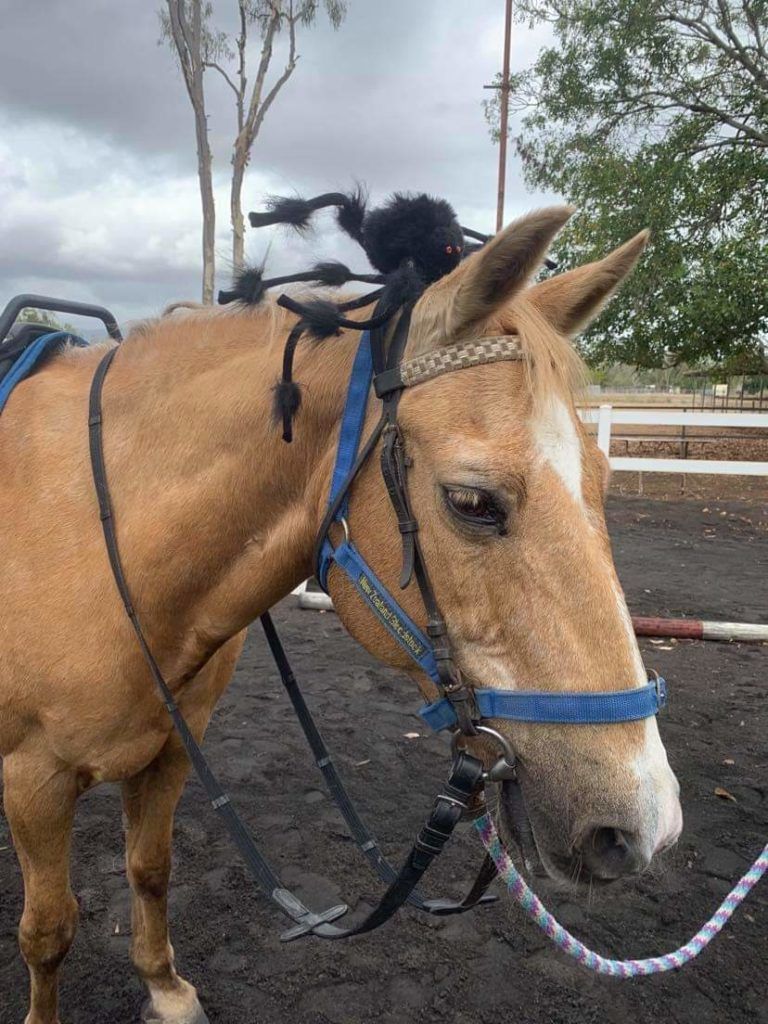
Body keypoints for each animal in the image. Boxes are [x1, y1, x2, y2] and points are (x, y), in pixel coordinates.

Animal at [0, 207, 681, 1024]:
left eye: (604, 480)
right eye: (472, 502)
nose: (646, 823)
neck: (94, 535)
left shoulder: (172, 749)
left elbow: (150, 868)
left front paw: (165, 988)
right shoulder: (33, 780)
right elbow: (49, 930)